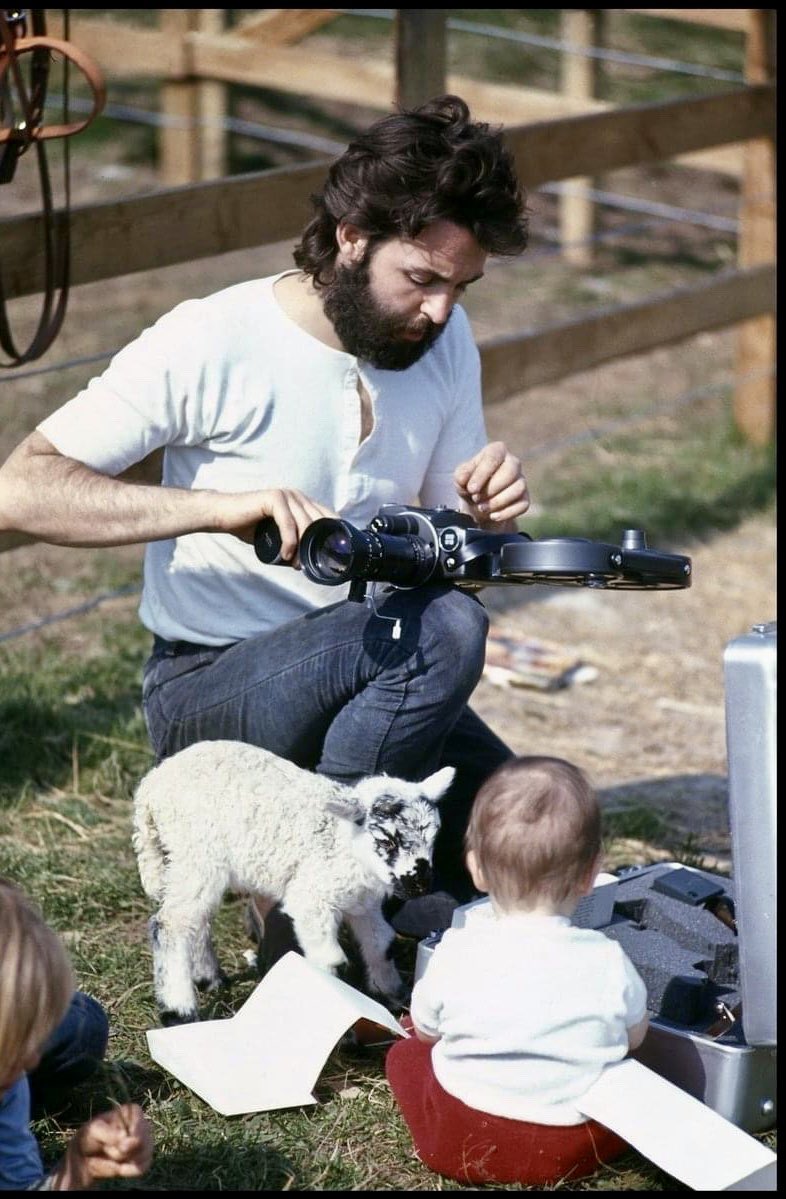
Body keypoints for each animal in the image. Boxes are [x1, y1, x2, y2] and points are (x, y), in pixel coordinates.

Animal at [132, 733, 455, 1026]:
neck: (341, 842)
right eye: (387, 840)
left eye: (434, 837)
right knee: (171, 925)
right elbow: (330, 960)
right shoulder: (311, 898)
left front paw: (394, 995)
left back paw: (208, 978)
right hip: (196, 852)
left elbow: (381, 943)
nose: (420, 885)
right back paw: (179, 1011)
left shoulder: (362, 904)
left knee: (195, 919)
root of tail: (151, 786)